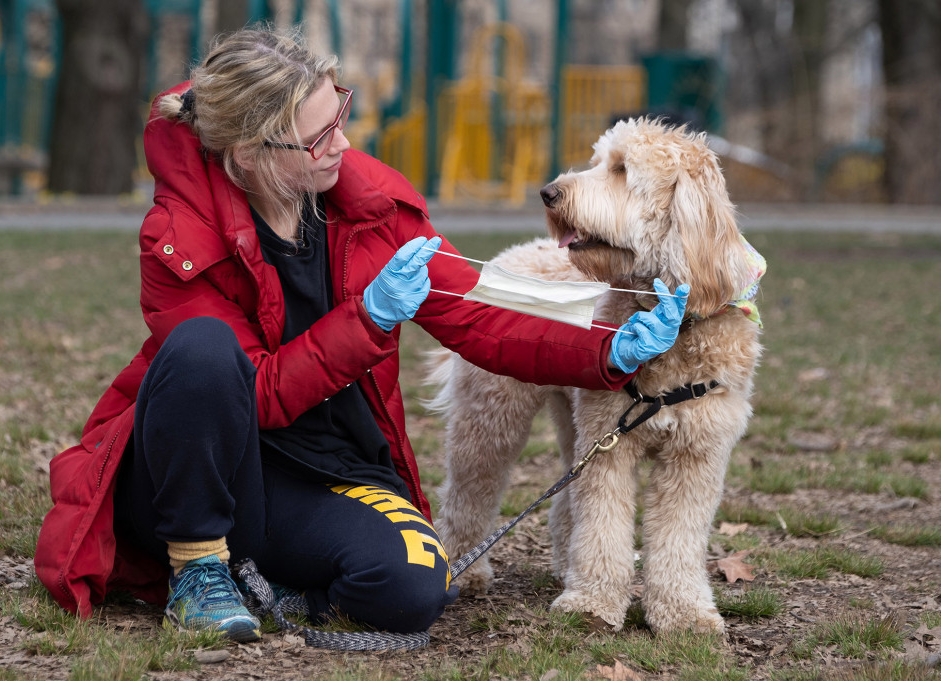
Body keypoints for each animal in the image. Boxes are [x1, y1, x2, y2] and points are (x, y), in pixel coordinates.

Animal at [426, 117, 764, 632]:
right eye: (598, 161)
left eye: (622, 170)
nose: (548, 192)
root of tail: (512, 255)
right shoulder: (610, 447)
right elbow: (603, 525)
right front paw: (593, 602)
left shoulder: (695, 455)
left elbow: (678, 540)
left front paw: (683, 613)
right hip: (493, 418)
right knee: (469, 494)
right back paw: (467, 571)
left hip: (574, 422)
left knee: (564, 501)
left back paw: (565, 567)